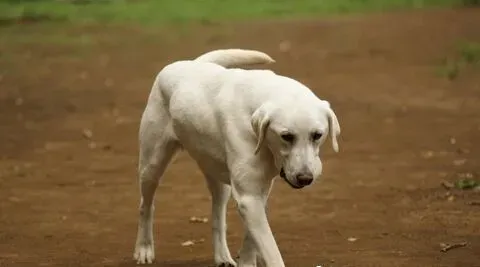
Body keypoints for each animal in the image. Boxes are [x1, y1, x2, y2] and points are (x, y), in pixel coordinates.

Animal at [133, 48, 340, 267]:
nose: (305, 178)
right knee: (146, 205)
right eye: (286, 136)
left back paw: (223, 257)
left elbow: (251, 240)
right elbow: (271, 250)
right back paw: (144, 249)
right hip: (151, 165)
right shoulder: (249, 197)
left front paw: (247, 260)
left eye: (317, 135)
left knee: (217, 216)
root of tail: (192, 63)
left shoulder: (258, 193)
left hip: (217, 176)